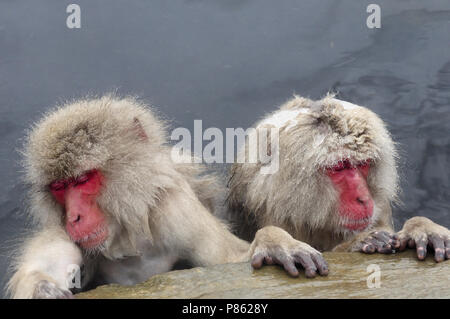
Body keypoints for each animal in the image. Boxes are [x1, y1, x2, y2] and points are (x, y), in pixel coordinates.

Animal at [7, 95, 326, 300]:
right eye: (60, 187)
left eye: (83, 179)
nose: (74, 216)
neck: (129, 236)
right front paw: (39, 286)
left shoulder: (175, 208)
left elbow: (228, 259)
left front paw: (273, 242)